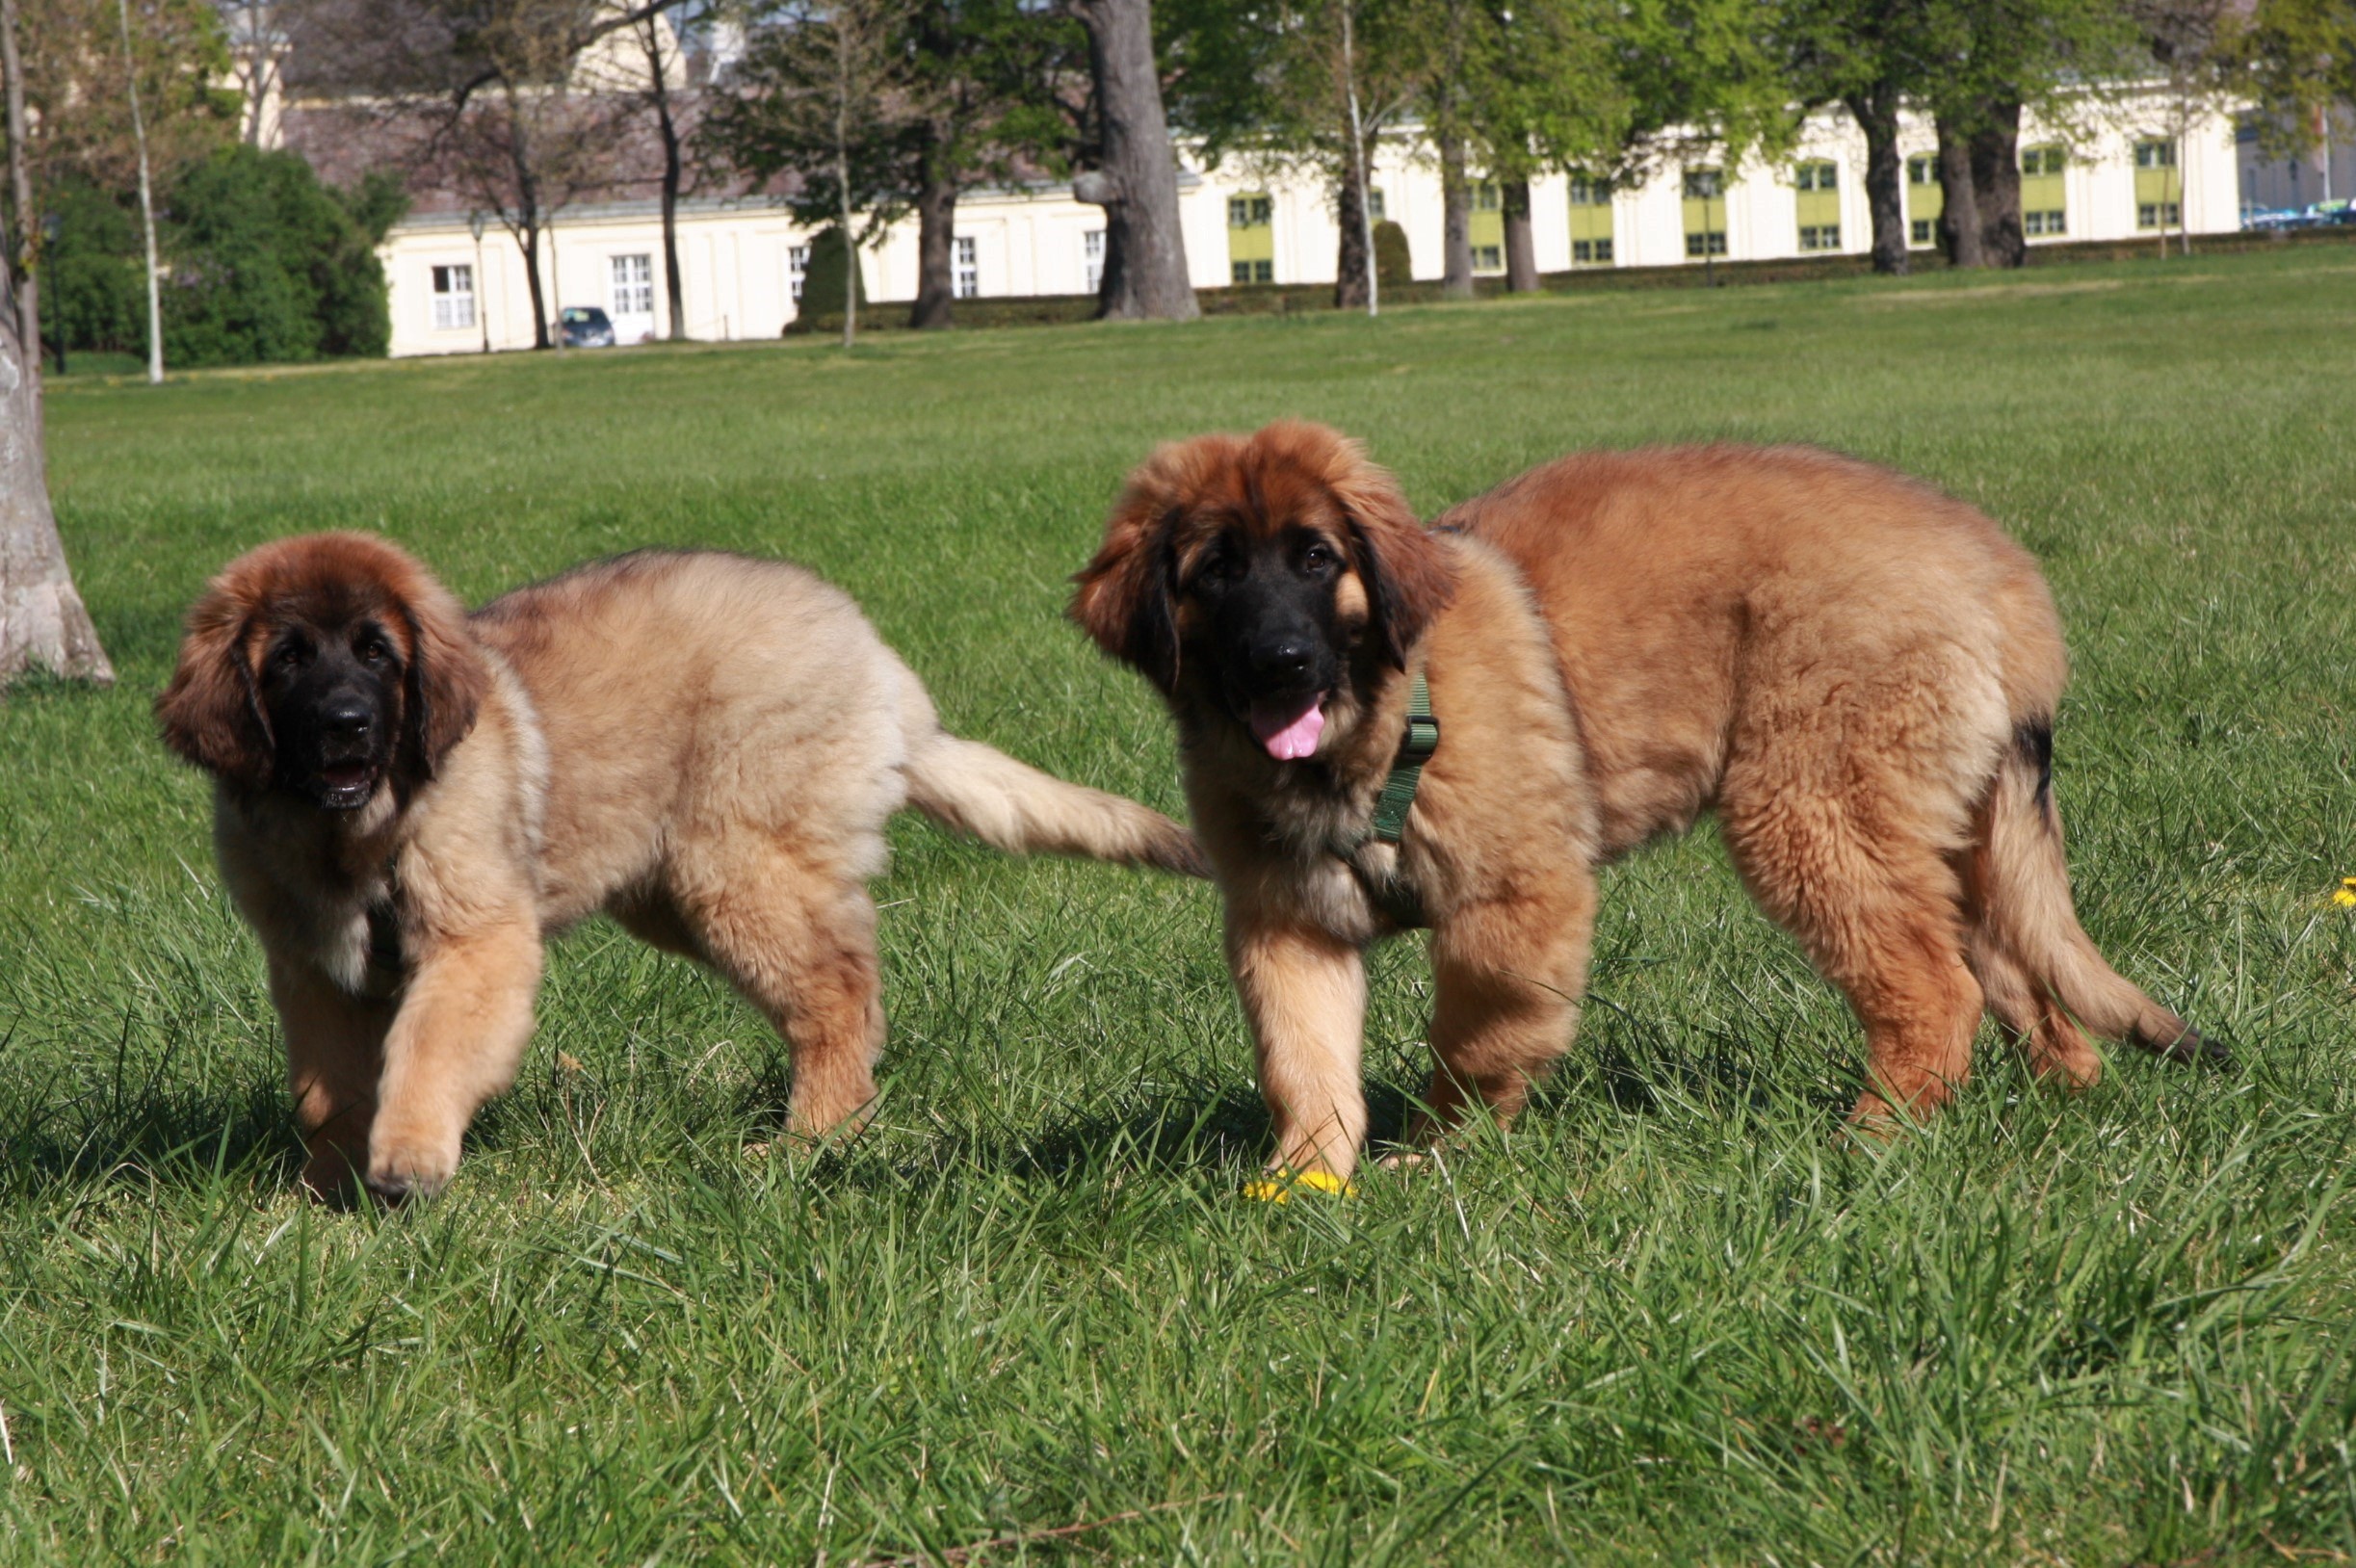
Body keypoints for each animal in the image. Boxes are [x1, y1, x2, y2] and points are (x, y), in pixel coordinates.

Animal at [156, 534, 1206, 1195]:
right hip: (678, 887)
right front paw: (323, 1196)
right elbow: (328, 1088)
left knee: (837, 991)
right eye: (290, 659)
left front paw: (410, 1158)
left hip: (738, 863)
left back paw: (808, 1141)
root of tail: (871, 654)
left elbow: (429, 1047)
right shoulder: (313, 970)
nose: (347, 725)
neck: (354, 833)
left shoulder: (477, 941)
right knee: (848, 985)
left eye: (376, 654)